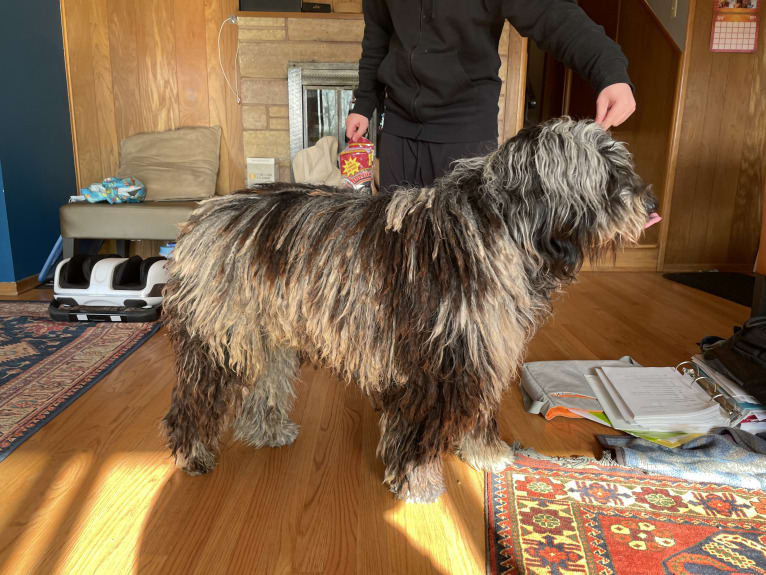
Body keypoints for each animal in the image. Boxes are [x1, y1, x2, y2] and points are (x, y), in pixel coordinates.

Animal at [162, 118, 660, 504]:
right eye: (610, 173)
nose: (652, 204)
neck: (498, 225)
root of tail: (202, 215)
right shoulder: (436, 362)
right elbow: (419, 435)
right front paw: (418, 483)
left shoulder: (481, 352)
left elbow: (479, 413)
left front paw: (484, 452)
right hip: (218, 339)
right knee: (193, 401)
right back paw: (192, 453)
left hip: (268, 337)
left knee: (265, 385)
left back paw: (267, 431)